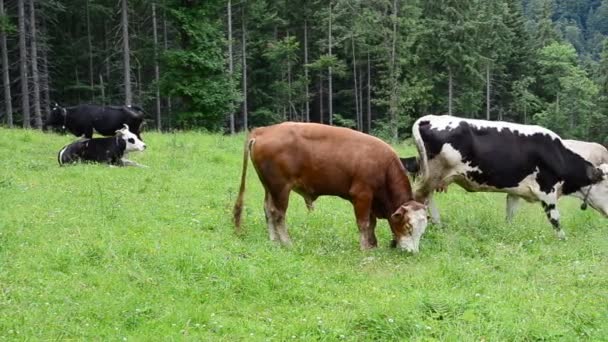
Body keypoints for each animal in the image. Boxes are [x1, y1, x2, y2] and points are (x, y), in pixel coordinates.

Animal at [233, 122, 428, 251]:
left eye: (423, 230)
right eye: (408, 226)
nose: (412, 252)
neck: (384, 166)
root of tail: (263, 130)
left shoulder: (372, 199)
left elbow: (371, 223)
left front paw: (373, 244)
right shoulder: (362, 195)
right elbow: (364, 223)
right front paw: (365, 248)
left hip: (269, 187)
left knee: (268, 211)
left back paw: (274, 241)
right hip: (281, 188)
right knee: (278, 214)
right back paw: (287, 243)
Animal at [410, 114, 604, 238]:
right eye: (606, 185)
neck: (556, 154)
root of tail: (429, 118)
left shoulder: (515, 192)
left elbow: (510, 215)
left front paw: (508, 232)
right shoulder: (547, 191)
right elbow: (555, 219)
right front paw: (563, 239)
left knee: (428, 198)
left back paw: (438, 225)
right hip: (434, 174)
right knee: (420, 196)